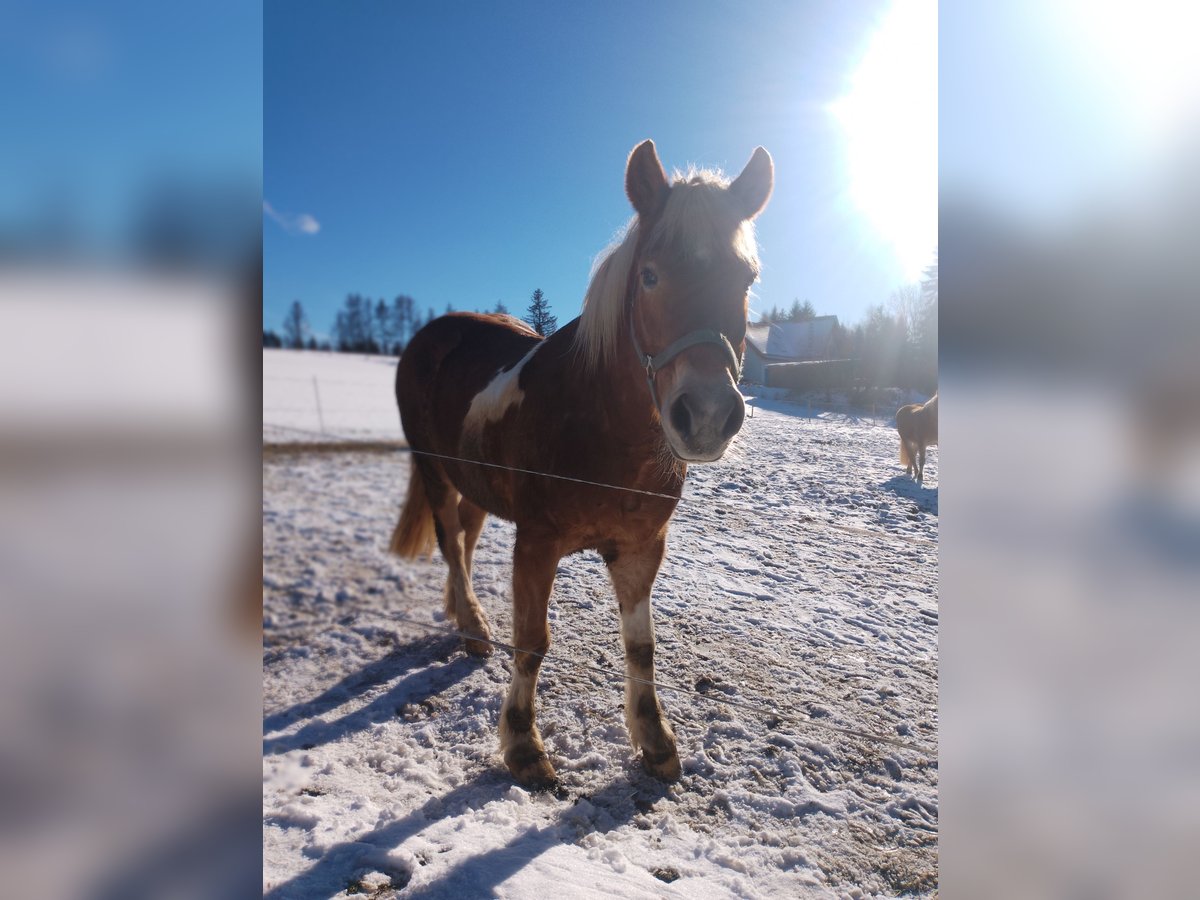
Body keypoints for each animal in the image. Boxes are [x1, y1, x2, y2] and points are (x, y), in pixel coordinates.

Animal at [388, 141, 772, 787]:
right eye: (649, 275)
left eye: (746, 280)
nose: (707, 415)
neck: (603, 431)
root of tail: (433, 334)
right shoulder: (536, 544)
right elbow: (533, 641)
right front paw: (523, 745)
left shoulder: (641, 548)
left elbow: (641, 646)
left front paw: (655, 740)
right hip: (436, 472)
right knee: (450, 542)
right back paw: (472, 626)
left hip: (474, 485)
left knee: (463, 537)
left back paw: (465, 619)